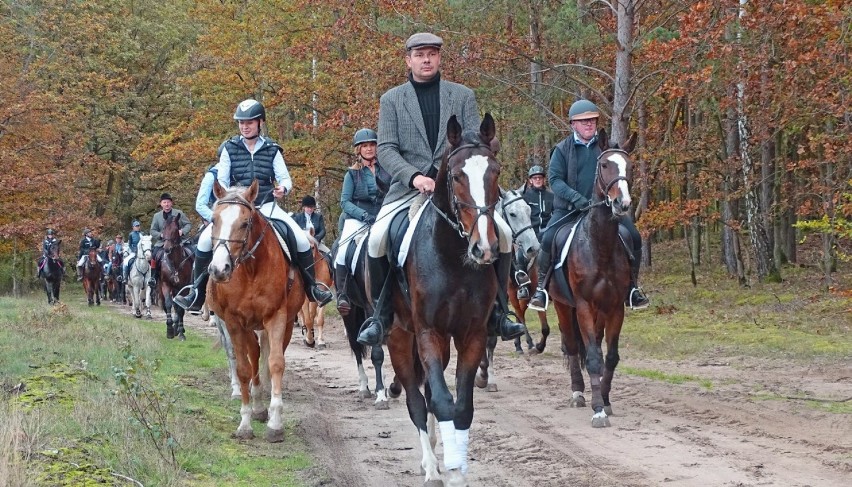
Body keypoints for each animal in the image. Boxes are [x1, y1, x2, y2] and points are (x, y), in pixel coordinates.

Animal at [207, 181, 306, 444]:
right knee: (254, 357)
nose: (219, 269)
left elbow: (276, 364)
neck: (250, 269)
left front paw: (276, 424)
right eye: (213, 220)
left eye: (245, 223)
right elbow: (243, 369)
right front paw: (245, 423)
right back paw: (258, 405)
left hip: (282, 324)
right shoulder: (234, 323)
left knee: (265, 359)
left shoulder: (277, 317)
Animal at [388, 113, 502, 484]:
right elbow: (439, 400)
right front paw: (447, 469)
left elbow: (461, 406)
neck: (453, 257)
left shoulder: (472, 335)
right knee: (416, 400)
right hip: (399, 336)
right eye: (456, 176)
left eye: (496, 171)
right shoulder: (428, 333)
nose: (484, 248)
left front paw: (457, 467)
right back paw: (430, 465)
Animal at [548, 127, 636, 428]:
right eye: (605, 165)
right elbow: (593, 357)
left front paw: (606, 400)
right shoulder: (584, 306)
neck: (600, 246)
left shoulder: (615, 308)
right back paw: (577, 392)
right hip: (563, 306)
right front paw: (597, 409)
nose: (623, 203)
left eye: (629, 166)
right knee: (573, 346)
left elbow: (609, 356)